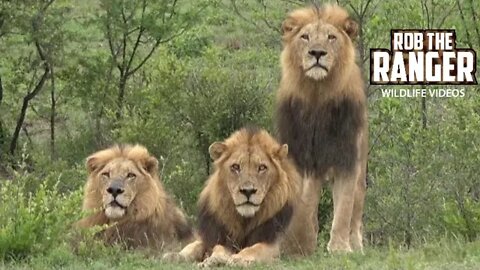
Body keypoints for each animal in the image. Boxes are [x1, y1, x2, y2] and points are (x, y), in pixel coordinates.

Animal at [274, 4, 368, 253]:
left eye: (331, 37)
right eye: (305, 37)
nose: (317, 53)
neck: (318, 94)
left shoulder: (347, 160)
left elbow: (344, 209)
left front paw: (339, 248)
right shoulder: (301, 158)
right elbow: (304, 204)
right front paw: (299, 244)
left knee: (356, 211)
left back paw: (356, 245)